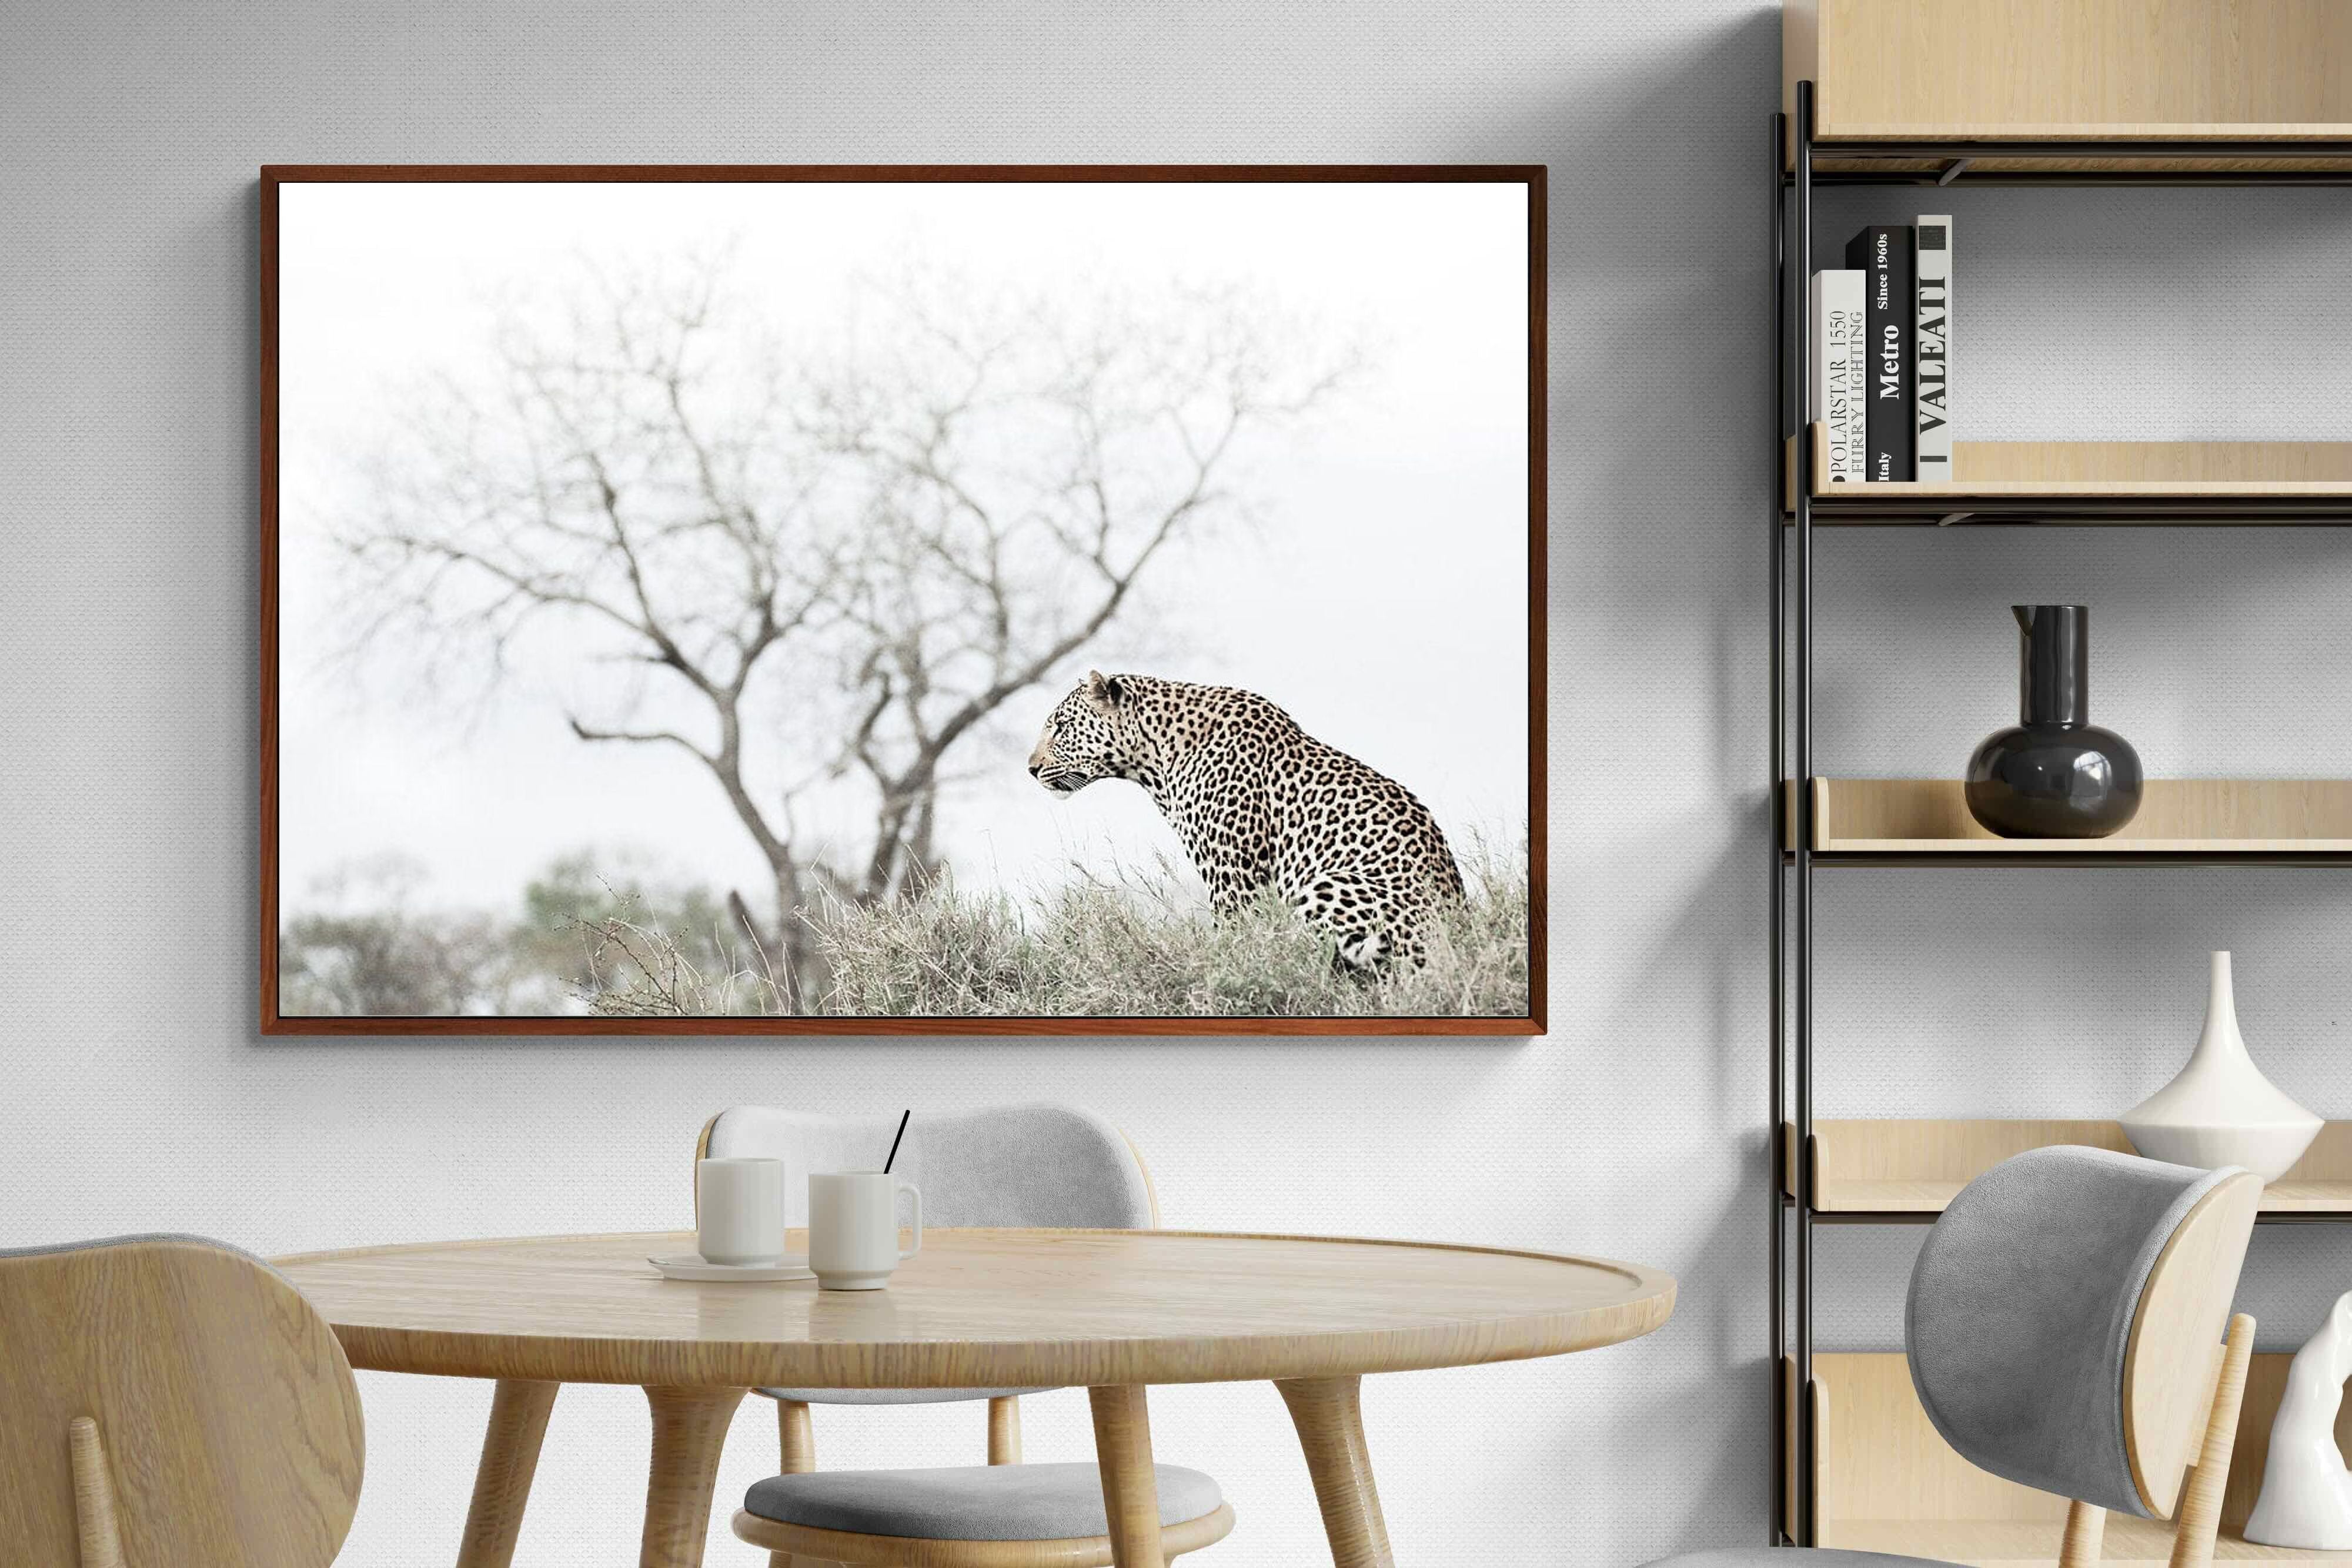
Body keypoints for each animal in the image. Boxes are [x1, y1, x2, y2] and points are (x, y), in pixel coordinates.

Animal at [1027, 671, 1466, 969]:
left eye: (1062, 727)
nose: (1031, 769)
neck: (1154, 758)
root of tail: (1457, 923)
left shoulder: (1232, 875)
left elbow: (1233, 938)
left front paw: (1224, 972)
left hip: (1327, 884)